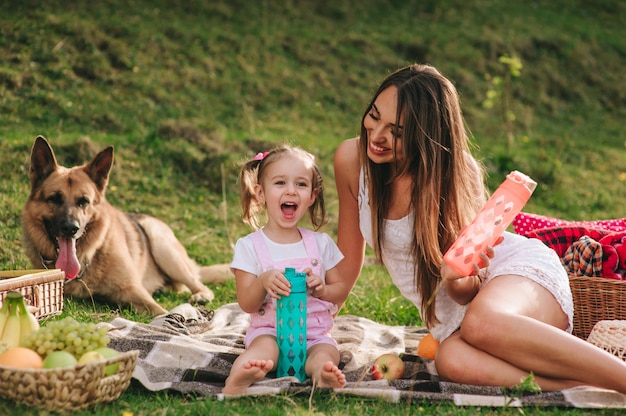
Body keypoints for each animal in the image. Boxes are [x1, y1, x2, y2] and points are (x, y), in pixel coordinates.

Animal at [22, 135, 233, 314]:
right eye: (54, 199)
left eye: (84, 201)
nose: (71, 228)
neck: (89, 257)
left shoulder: (133, 289)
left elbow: (161, 311)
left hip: (163, 247)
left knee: (198, 283)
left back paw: (201, 295)